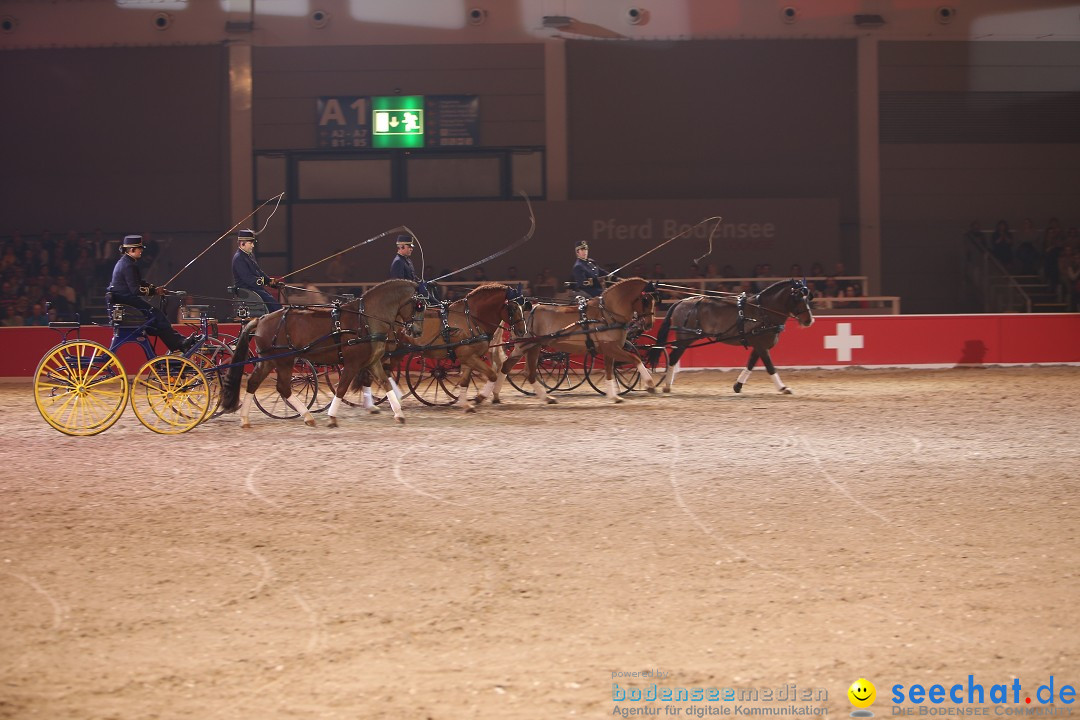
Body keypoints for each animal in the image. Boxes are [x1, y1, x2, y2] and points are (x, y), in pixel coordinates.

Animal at [218, 278, 421, 425]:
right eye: (418, 305)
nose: (417, 331)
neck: (366, 320)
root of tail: (261, 319)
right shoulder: (352, 363)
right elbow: (341, 388)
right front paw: (331, 417)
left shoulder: (372, 361)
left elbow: (385, 383)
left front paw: (399, 413)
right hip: (284, 360)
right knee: (283, 387)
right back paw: (307, 415)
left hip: (268, 360)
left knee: (253, 382)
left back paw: (245, 419)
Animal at [496, 276, 656, 403]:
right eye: (645, 300)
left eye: (654, 299)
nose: (649, 324)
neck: (607, 314)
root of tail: (523, 311)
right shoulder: (611, 348)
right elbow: (636, 359)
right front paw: (650, 384)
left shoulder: (610, 349)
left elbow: (610, 370)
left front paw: (614, 396)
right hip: (525, 345)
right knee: (518, 369)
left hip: (532, 346)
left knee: (520, 370)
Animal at [648, 280, 812, 395]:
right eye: (798, 297)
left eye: (807, 297)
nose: (809, 320)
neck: (763, 312)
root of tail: (680, 302)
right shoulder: (762, 347)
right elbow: (770, 367)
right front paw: (783, 388)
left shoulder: (758, 346)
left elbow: (750, 364)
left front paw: (737, 386)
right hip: (685, 339)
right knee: (673, 358)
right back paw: (667, 385)